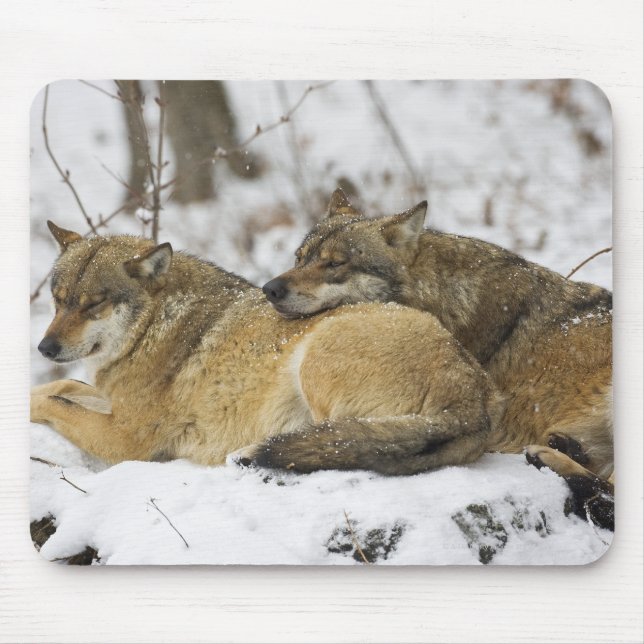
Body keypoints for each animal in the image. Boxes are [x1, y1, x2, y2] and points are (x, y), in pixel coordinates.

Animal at [31, 221, 504, 476]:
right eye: (58, 300)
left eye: (93, 304)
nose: (45, 348)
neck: (155, 327)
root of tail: (474, 397)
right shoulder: (108, 401)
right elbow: (61, 388)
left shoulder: (126, 441)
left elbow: (54, 401)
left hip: (316, 360)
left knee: (337, 446)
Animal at [262, 190, 614, 529]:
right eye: (299, 257)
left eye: (335, 263)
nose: (270, 289)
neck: (442, 295)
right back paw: (564, 446)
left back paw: (548, 456)